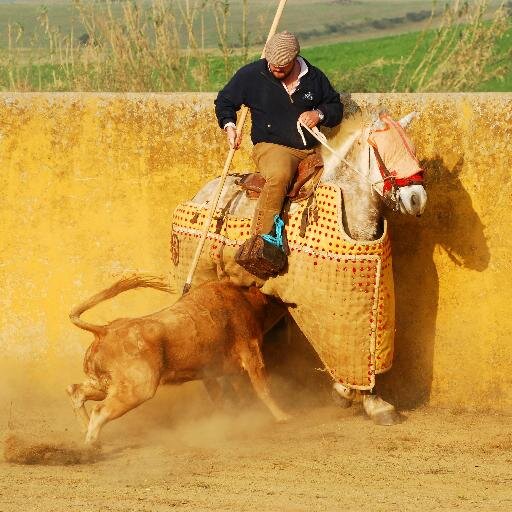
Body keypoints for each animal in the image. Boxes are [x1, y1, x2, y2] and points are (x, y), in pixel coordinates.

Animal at [67, 276, 288, 444]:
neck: (245, 300)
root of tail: (104, 330)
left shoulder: (221, 371)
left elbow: (229, 394)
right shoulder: (251, 353)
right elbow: (263, 389)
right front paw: (283, 417)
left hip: (105, 383)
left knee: (76, 391)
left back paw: (84, 431)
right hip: (137, 389)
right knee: (99, 409)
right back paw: (92, 443)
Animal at [172, 110, 428, 426]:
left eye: (413, 150)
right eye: (385, 151)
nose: (417, 199)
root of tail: (201, 193)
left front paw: (372, 401)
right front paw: (353, 396)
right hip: (199, 284)